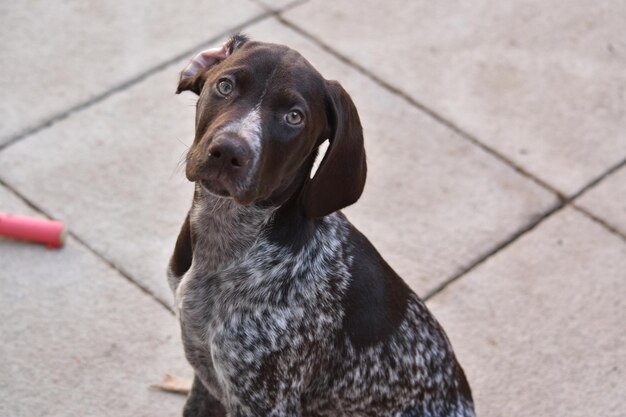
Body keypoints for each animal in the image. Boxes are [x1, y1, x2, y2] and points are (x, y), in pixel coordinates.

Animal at [167, 35, 472, 416]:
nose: (228, 152)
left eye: (294, 117)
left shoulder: (265, 401)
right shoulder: (206, 377)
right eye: (225, 86)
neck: (227, 238)